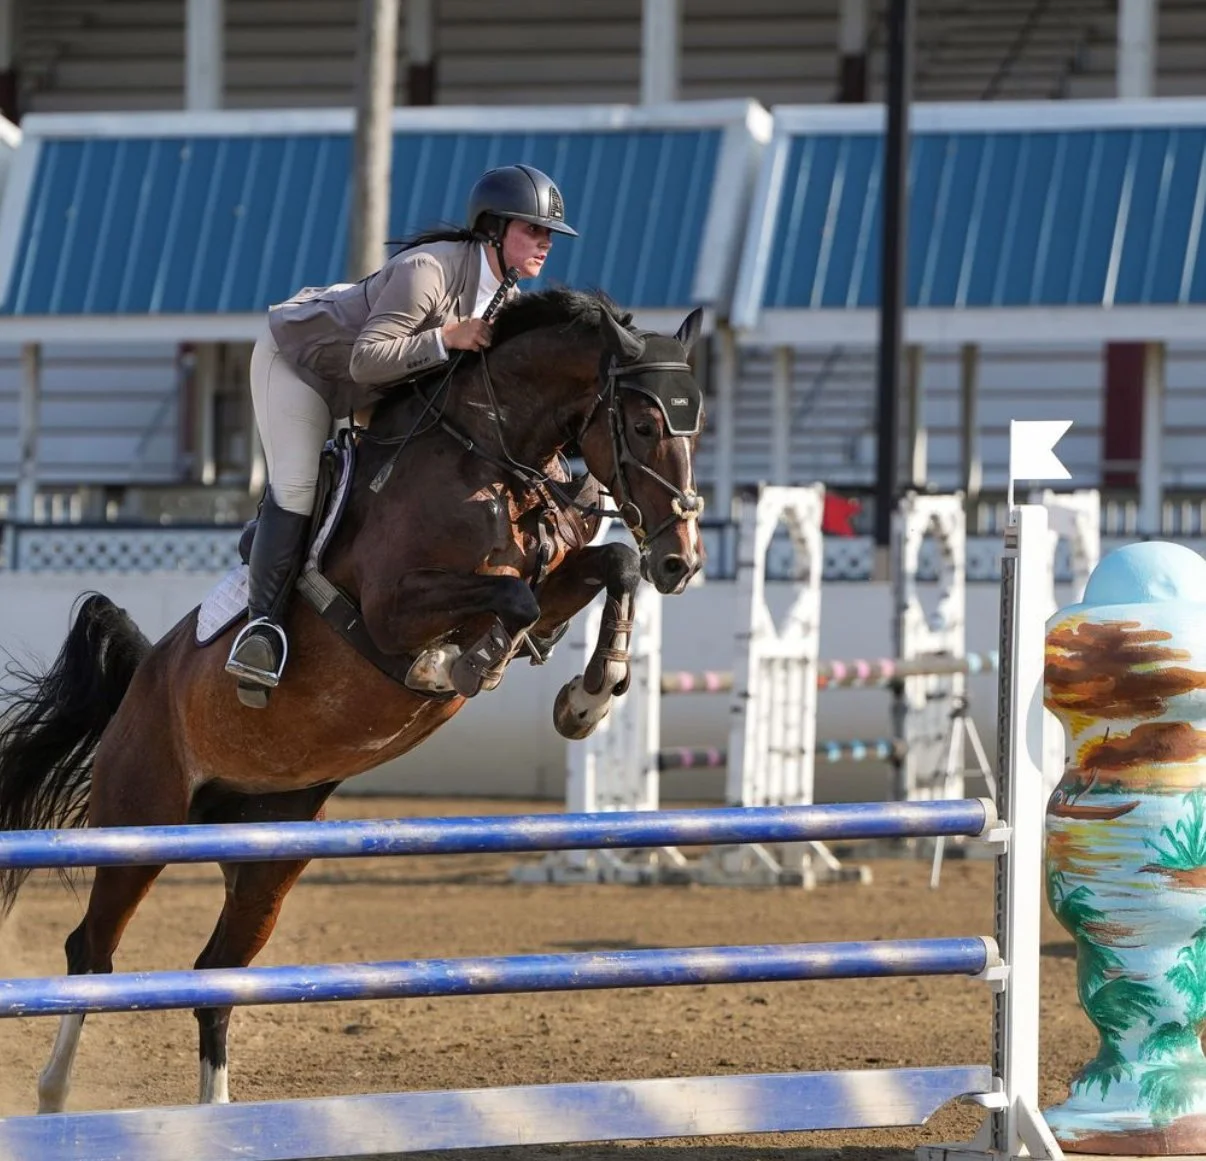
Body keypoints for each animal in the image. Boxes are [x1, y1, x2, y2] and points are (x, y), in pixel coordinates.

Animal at [0, 287, 706, 1111]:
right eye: (644, 424)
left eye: (696, 424)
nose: (683, 561)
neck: (488, 455)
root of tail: (144, 676)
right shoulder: (393, 611)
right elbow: (513, 597)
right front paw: (471, 663)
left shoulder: (559, 573)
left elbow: (606, 566)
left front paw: (586, 699)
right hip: (143, 823)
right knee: (92, 951)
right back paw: (53, 1097)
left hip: (268, 851)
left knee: (216, 974)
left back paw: (217, 1116)